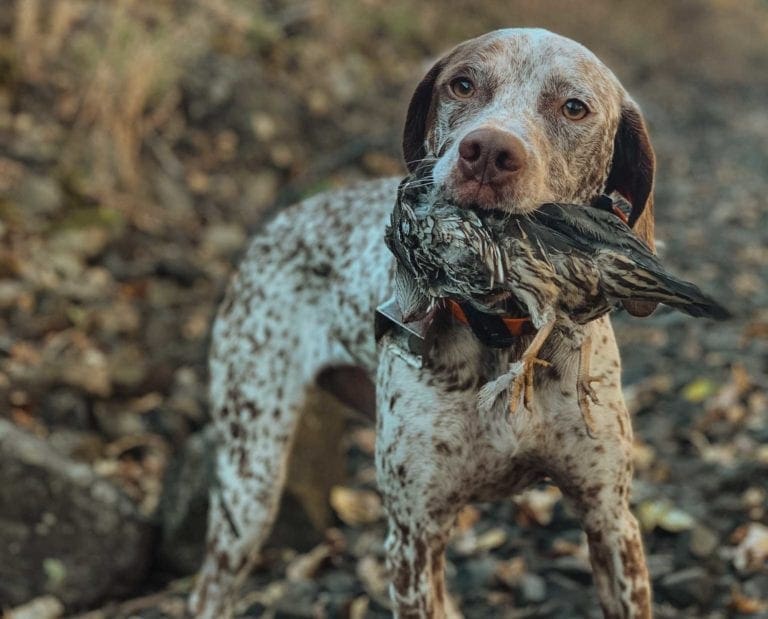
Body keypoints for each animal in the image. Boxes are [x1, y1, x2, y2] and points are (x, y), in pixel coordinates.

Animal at [189, 26, 656, 616]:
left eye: (574, 107)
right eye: (463, 84)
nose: (489, 152)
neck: (504, 332)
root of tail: (274, 225)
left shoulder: (610, 522)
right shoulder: (412, 537)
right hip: (250, 479)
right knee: (208, 587)